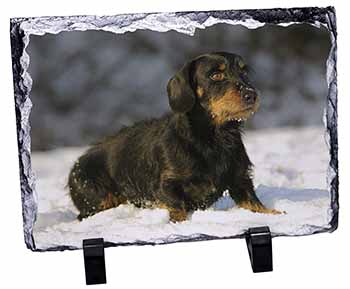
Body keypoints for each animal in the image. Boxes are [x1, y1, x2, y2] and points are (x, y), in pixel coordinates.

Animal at [68, 51, 282, 222]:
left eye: (244, 72)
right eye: (216, 75)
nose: (251, 95)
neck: (213, 139)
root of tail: (75, 167)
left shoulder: (240, 179)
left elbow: (254, 202)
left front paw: (274, 214)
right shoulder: (165, 185)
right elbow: (177, 205)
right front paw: (179, 223)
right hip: (97, 198)